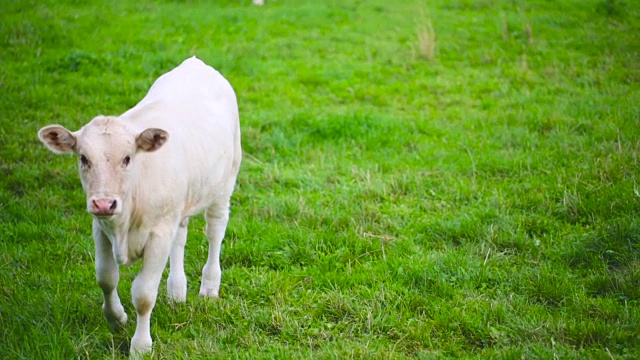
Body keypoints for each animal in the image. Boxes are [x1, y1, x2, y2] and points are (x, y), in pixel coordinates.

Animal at [38, 56, 242, 354]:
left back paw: (209, 287)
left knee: (215, 231)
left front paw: (141, 345)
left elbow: (144, 294)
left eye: (127, 158)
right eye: (83, 158)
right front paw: (116, 318)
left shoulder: (157, 235)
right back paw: (176, 291)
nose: (103, 203)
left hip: (225, 183)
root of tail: (196, 63)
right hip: (179, 204)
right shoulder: (100, 228)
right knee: (180, 237)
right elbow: (106, 277)